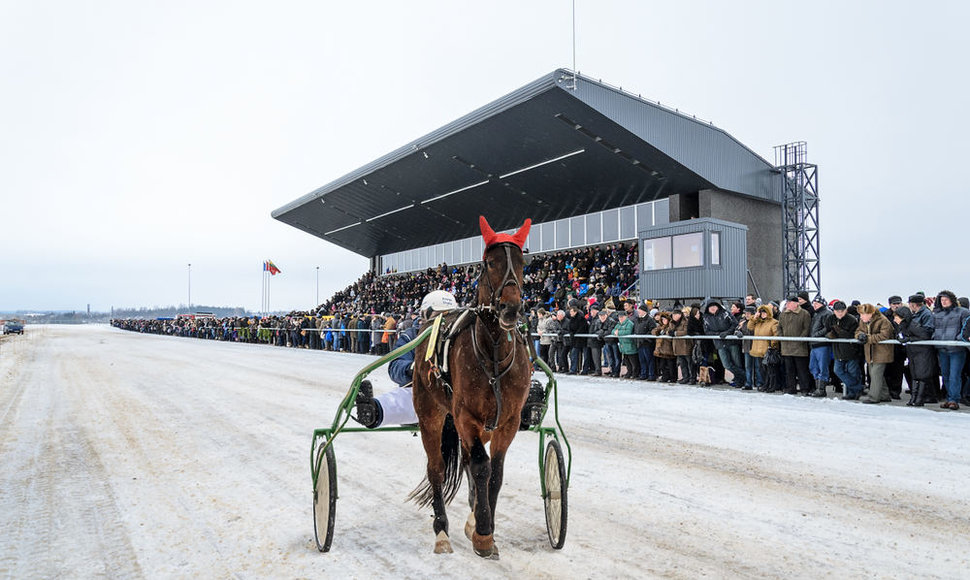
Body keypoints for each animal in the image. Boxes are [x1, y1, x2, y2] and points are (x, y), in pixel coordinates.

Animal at [406, 216, 532, 556]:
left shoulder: (508, 421)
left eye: (522, 262)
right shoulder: (465, 416)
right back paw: (442, 531)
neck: (494, 356)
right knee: (436, 468)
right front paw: (484, 534)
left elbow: (495, 473)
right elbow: (480, 466)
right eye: (490, 262)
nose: (511, 309)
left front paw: (480, 525)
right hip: (430, 413)